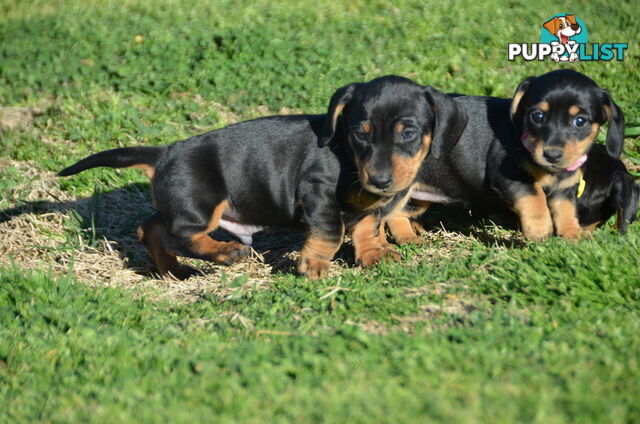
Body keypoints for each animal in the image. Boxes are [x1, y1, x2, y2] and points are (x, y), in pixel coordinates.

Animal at [60, 75, 460, 282]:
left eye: (408, 133)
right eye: (360, 134)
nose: (379, 180)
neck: (349, 159)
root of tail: (165, 153)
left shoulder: (370, 206)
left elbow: (367, 226)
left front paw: (374, 255)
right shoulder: (318, 196)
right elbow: (331, 233)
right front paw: (313, 266)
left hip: (183, 202)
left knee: (151, 228)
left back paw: (174, 270)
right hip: (203, 202)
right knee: (180, 234)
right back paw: (225, 252)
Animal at [384, 68, 624, 242]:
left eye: (580, 121)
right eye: (537, 116)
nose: (552, 155)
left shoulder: (565, 188)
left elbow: (566, 211)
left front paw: (573, 235)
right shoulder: (509, 176)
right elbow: (535, 197)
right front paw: (539, 229)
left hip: (417, 197)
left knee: (397, 214)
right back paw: (406, 239)